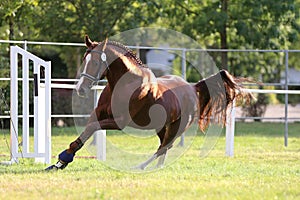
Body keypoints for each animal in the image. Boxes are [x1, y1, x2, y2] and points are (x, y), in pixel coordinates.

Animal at [45, 35, 253, 170]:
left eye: (95, 63)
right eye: (83, 59)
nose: (80, 89)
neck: (123, 83)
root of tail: (193, 88)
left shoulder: (119, 122)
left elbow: (92, 128)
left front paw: (63, 159)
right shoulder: (99, 113)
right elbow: (86, 132)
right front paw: (60, 162)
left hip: (177, 127)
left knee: (164, 147)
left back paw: (141, 166)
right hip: (162, 126)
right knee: (163, 148)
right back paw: (157, 168)